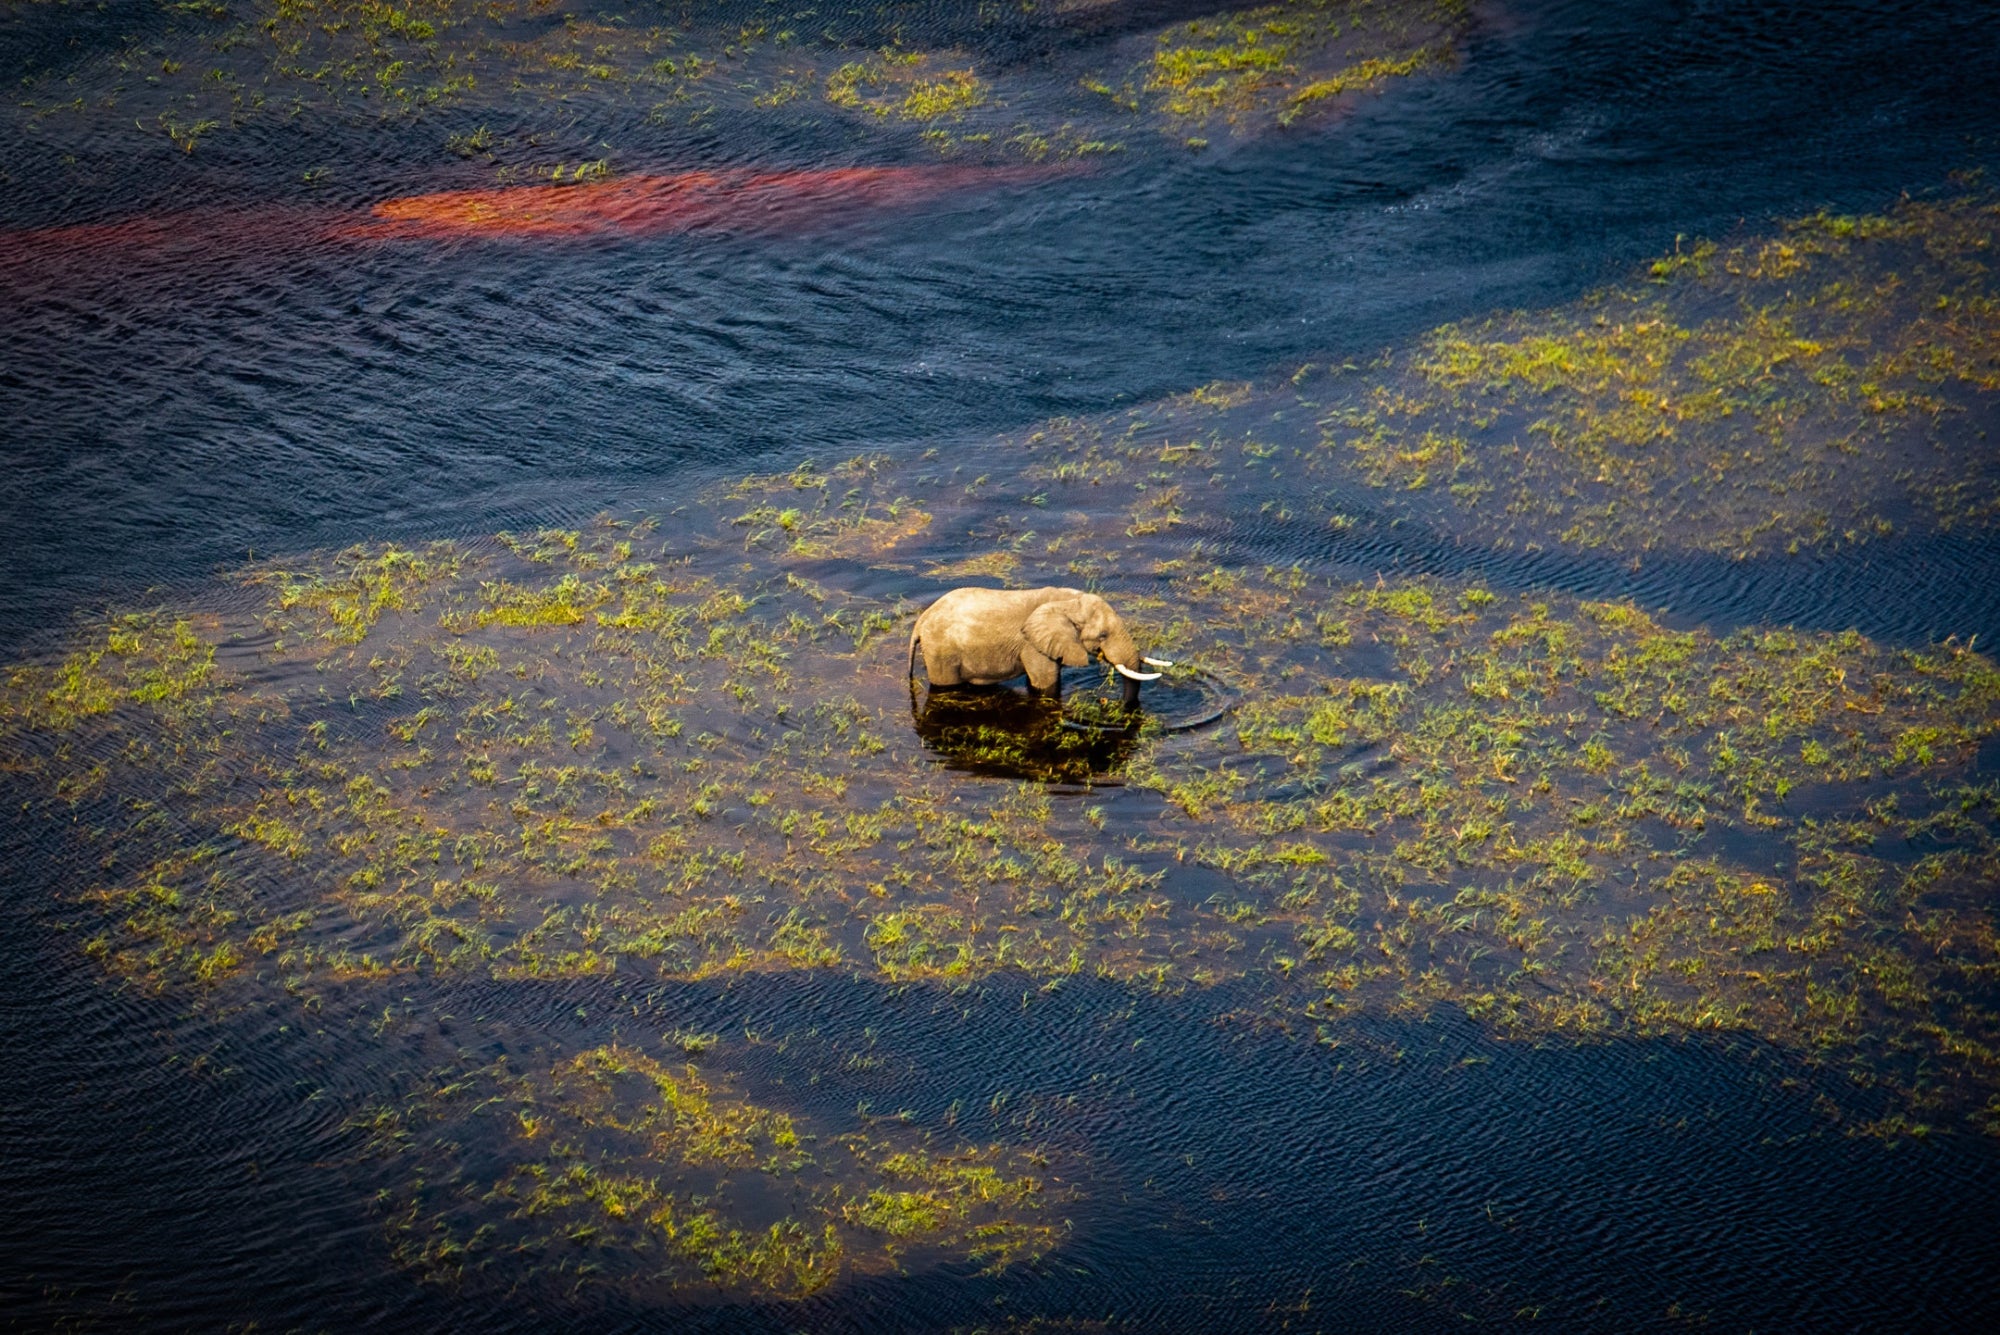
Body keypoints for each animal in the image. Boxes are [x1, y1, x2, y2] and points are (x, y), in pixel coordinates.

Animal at [907, 586, 1171, 693]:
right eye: (1103, 635)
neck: (1067, 602)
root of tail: (920, 622)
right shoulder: (1033, 645)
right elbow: (1046, 683)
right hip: (941, 653)